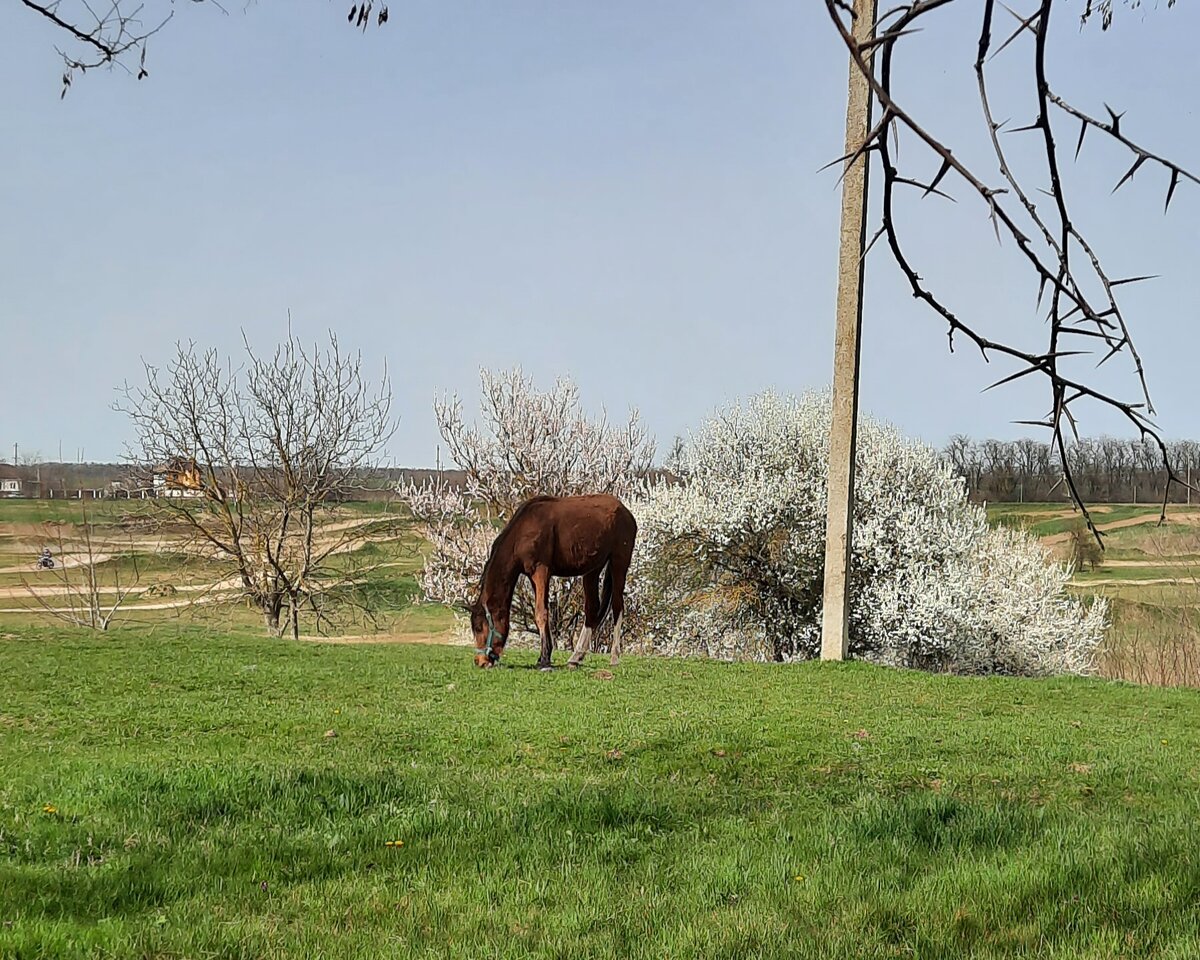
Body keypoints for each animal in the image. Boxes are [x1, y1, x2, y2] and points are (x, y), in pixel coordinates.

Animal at [468, 492, 638, 672]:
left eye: (479, 627)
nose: (480, 661)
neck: (524, 529)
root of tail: (625, 511)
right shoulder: (533, 576)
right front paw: (545, 656)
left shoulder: (541, 571)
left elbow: (541, 613)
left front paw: (544, 660)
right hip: (593, 569)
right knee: (592, 610)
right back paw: (576, 657)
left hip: (619, 562)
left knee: (617, 606)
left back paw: (614, 657)